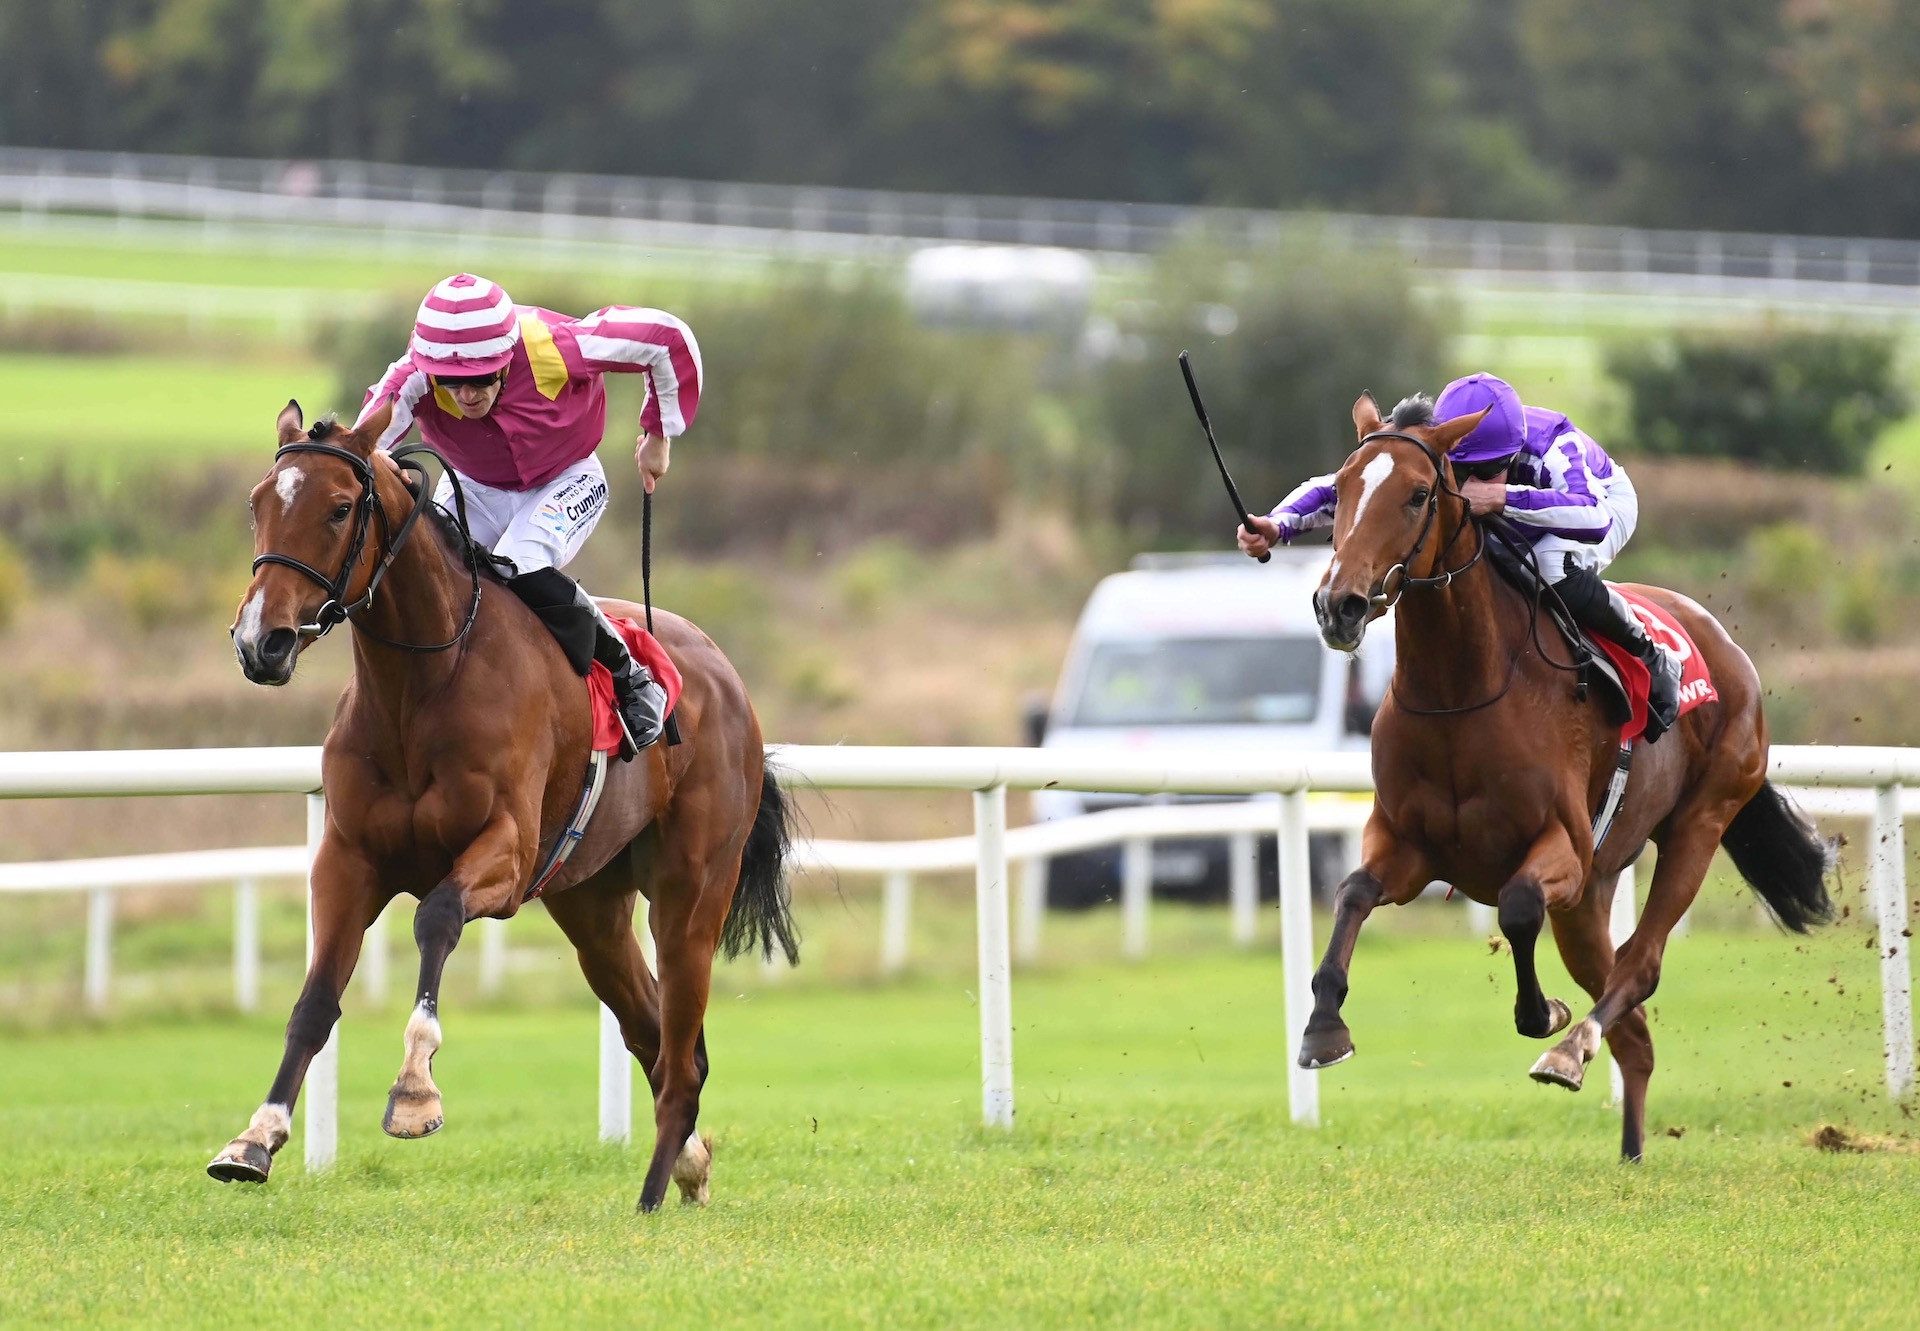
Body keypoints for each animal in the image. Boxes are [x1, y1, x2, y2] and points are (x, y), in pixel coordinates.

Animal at [214, 397, 798, 1206]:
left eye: (338, 508)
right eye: (258, 505)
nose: (259, 641)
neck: (421, 685)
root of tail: (727, 676)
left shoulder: (507, 852)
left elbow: (435, 917)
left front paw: (414, 1089)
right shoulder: (347, 859)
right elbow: (314, 1002)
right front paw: (256, 1136)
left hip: (692, 892)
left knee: (682, 1054)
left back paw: (651, 1195)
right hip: (592, 909)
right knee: (651, 1032)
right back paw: (688, 1165)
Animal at [1297, 391, 1835, 1152]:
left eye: (1418, 494)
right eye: (1341, 488)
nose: (1338, 604)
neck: (1462, 687)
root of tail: (1725, 645)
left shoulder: (1564, 850)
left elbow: (1519, 904)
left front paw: (1542, 1014)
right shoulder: (1407, 843)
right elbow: (1351, 893)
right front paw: (1323, 1028)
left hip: (1698, 824)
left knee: (1639, 966)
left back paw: (1571, 1047)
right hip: (1591, 898)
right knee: (1633, 1030)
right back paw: (1630, 1149)